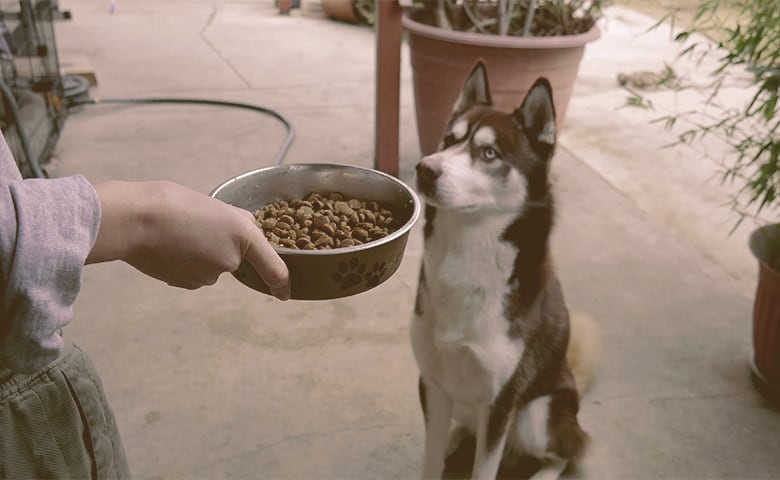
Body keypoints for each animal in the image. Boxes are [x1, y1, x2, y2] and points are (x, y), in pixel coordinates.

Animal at [412, 61, 600, 480]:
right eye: (448, 139)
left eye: (488, 152)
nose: (424, 169)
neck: (467, 255)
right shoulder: (433, 382)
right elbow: (429, 459)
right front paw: (437, 456)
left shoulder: (501, 402)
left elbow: (484, 470)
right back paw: (455, 440)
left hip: (535, 415)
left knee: (570, 450)